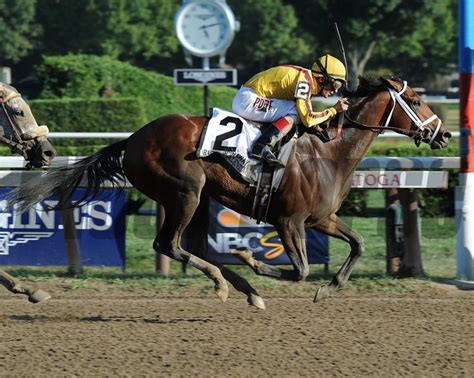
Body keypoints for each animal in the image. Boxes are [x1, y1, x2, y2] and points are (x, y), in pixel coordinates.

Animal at [8, 76, 452, 308]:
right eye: (415, 100)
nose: (444, 134)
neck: (328, 150)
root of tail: (133, 139)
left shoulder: (322, 217)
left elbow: (357, 243)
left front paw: (329, 287)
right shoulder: (289, 221)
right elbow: (300, 270)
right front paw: (252, 258)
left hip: (197, 196)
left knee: (188, 245)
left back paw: (244, 288)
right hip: (185, 191)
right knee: (169, 244)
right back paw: (229, 281)